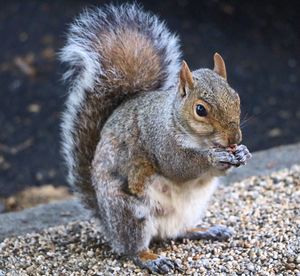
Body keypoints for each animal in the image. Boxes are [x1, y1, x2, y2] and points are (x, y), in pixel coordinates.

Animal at [59, 2, 252, 274]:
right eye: (200, 110)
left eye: (236, 98)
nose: (234, 137)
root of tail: (107, 222)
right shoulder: (160, 141)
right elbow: (179, 166)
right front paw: (213, 158)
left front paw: (242, 152)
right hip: (131, 213)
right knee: (133, 248)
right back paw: (153, 259)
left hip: (192, 209)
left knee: (181, 231)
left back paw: (208, 230)